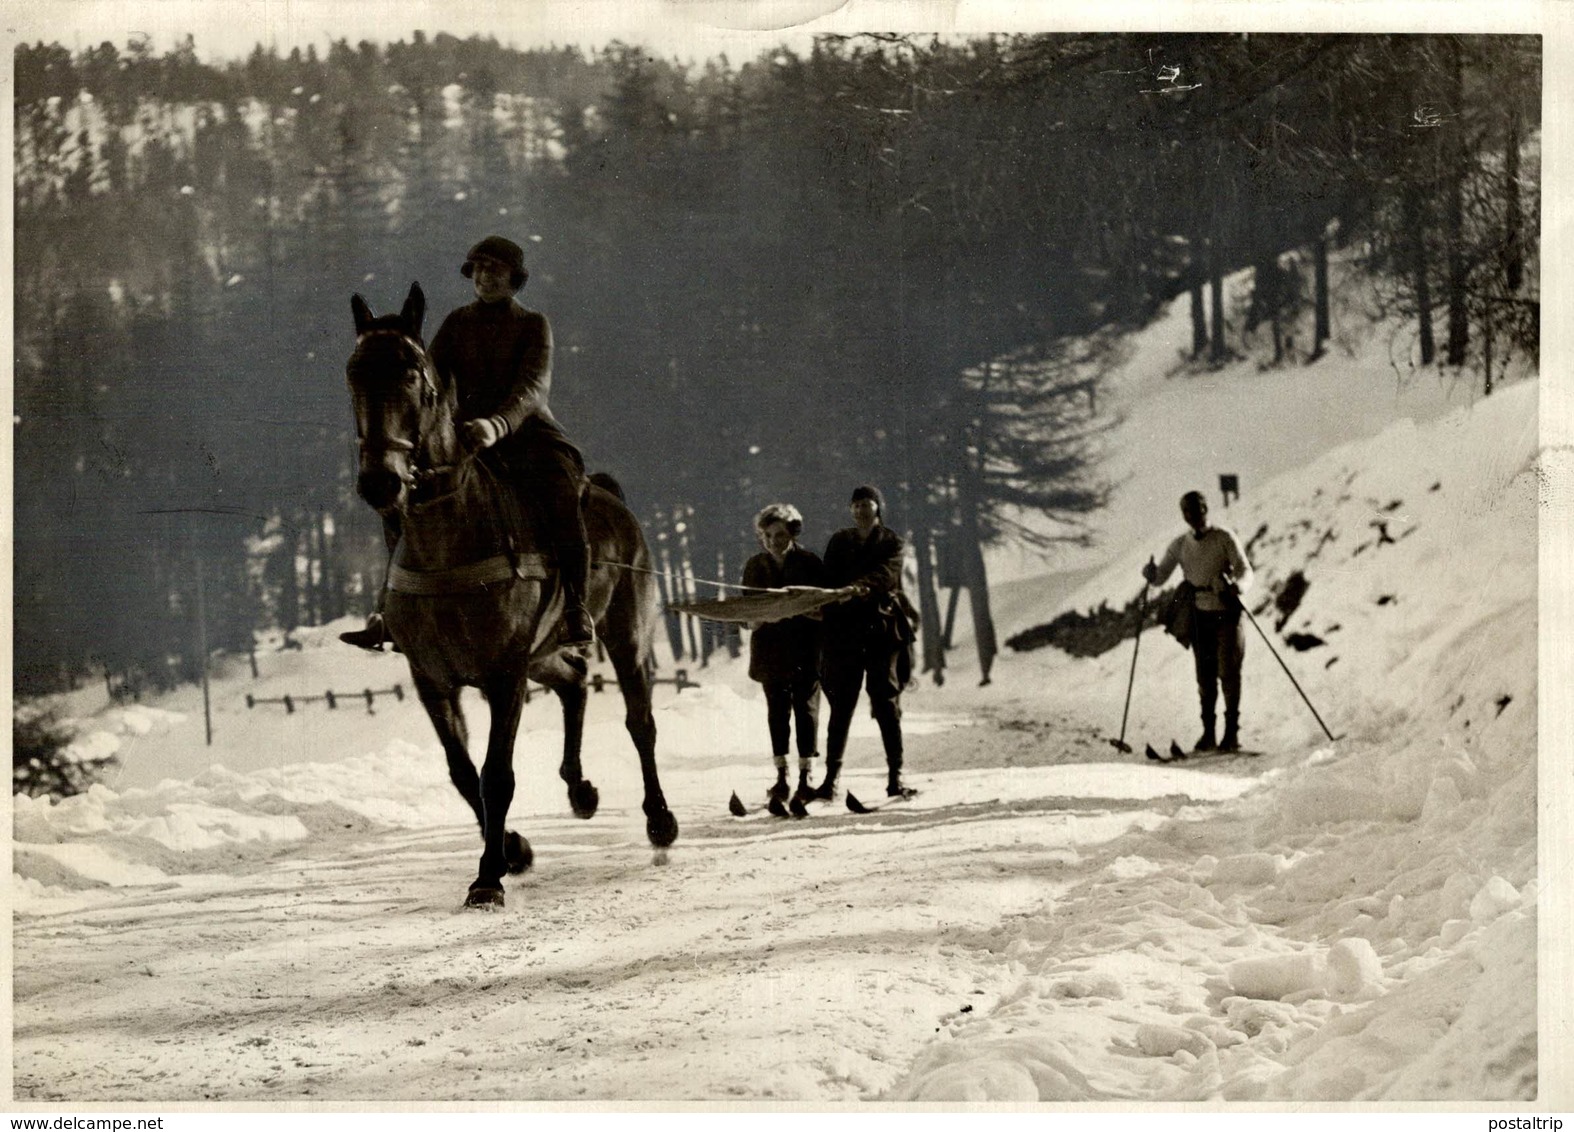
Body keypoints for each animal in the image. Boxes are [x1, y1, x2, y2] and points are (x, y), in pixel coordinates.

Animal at [347, 284, 679, 913]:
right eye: (354, 372)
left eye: (413, 374)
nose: (381, 481)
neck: (447, 542)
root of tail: (613, 500)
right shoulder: (434, 680)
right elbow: (462, 772)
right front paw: (513, 849)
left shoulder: (504, 674)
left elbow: (495, 775)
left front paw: (488, 877)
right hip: (541, 653)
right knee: (574, 681)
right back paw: (581, 790)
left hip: (625, 634)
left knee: (640, 722)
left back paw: (659, 822)